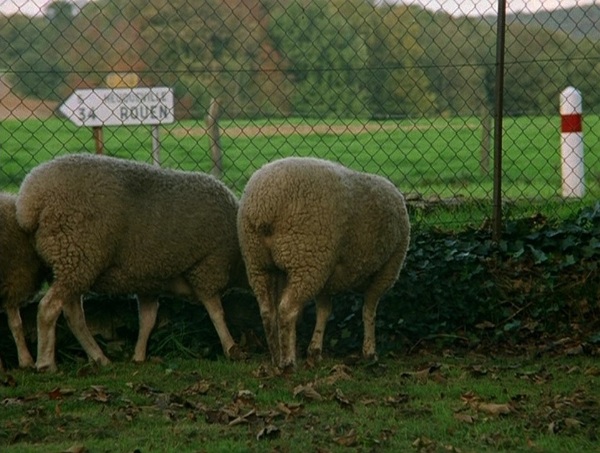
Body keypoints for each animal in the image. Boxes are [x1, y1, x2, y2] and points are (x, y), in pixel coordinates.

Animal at [17, 153, 245, 370]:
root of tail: (30, 200)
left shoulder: (149, 280)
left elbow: (147, 320)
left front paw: (138, 356)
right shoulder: (208, 267)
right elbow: (217, 313)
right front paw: (231, 348)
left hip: (69, 264)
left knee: (74, 315)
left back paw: (99, 358)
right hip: (76, 255)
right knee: (48, 309)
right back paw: (46, 363)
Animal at [237, 157, 410, 370]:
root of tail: (264, 206)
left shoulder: (327, 273)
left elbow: (324, 311)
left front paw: (315, 351)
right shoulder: (388, 269)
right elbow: (369, 311)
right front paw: (370, 353)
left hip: (259, 262)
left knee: (268, 310)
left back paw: (276, 358)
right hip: (307, 259)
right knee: (287, 309)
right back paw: (288, 362)